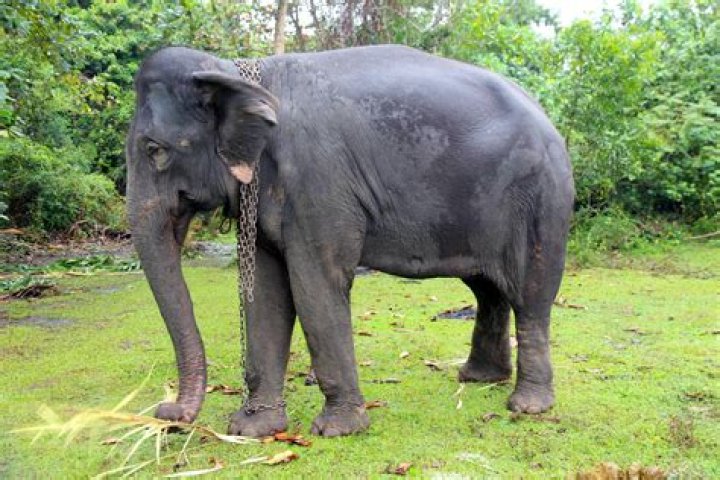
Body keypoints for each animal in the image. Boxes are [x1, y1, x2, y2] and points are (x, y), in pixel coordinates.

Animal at [126, 44, 574, 437]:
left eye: (155, 150)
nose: (165, 411)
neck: (238, 72)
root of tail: (548, 119)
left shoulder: (318, 182)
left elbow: (315, 285)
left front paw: (337, 429)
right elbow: (265, 291)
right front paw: (252, 429)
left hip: (540, 200)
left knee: (530, 294)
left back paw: (528, 405)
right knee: (487, 288)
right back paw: (479, 377)